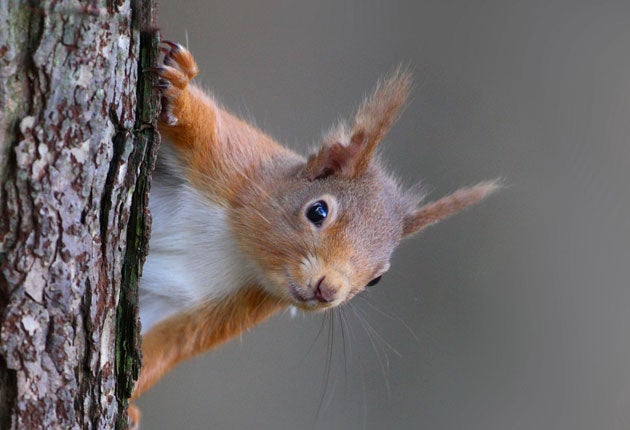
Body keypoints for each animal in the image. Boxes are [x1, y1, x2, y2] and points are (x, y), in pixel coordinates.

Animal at [128, 42, 502, 424]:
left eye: (376, 280)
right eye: (317, 211)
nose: (328, 290)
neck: (237, 247)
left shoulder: (226, 310)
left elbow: (167, 349)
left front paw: (129, 404)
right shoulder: (233, 161)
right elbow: (205, 128)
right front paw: (180, 90)